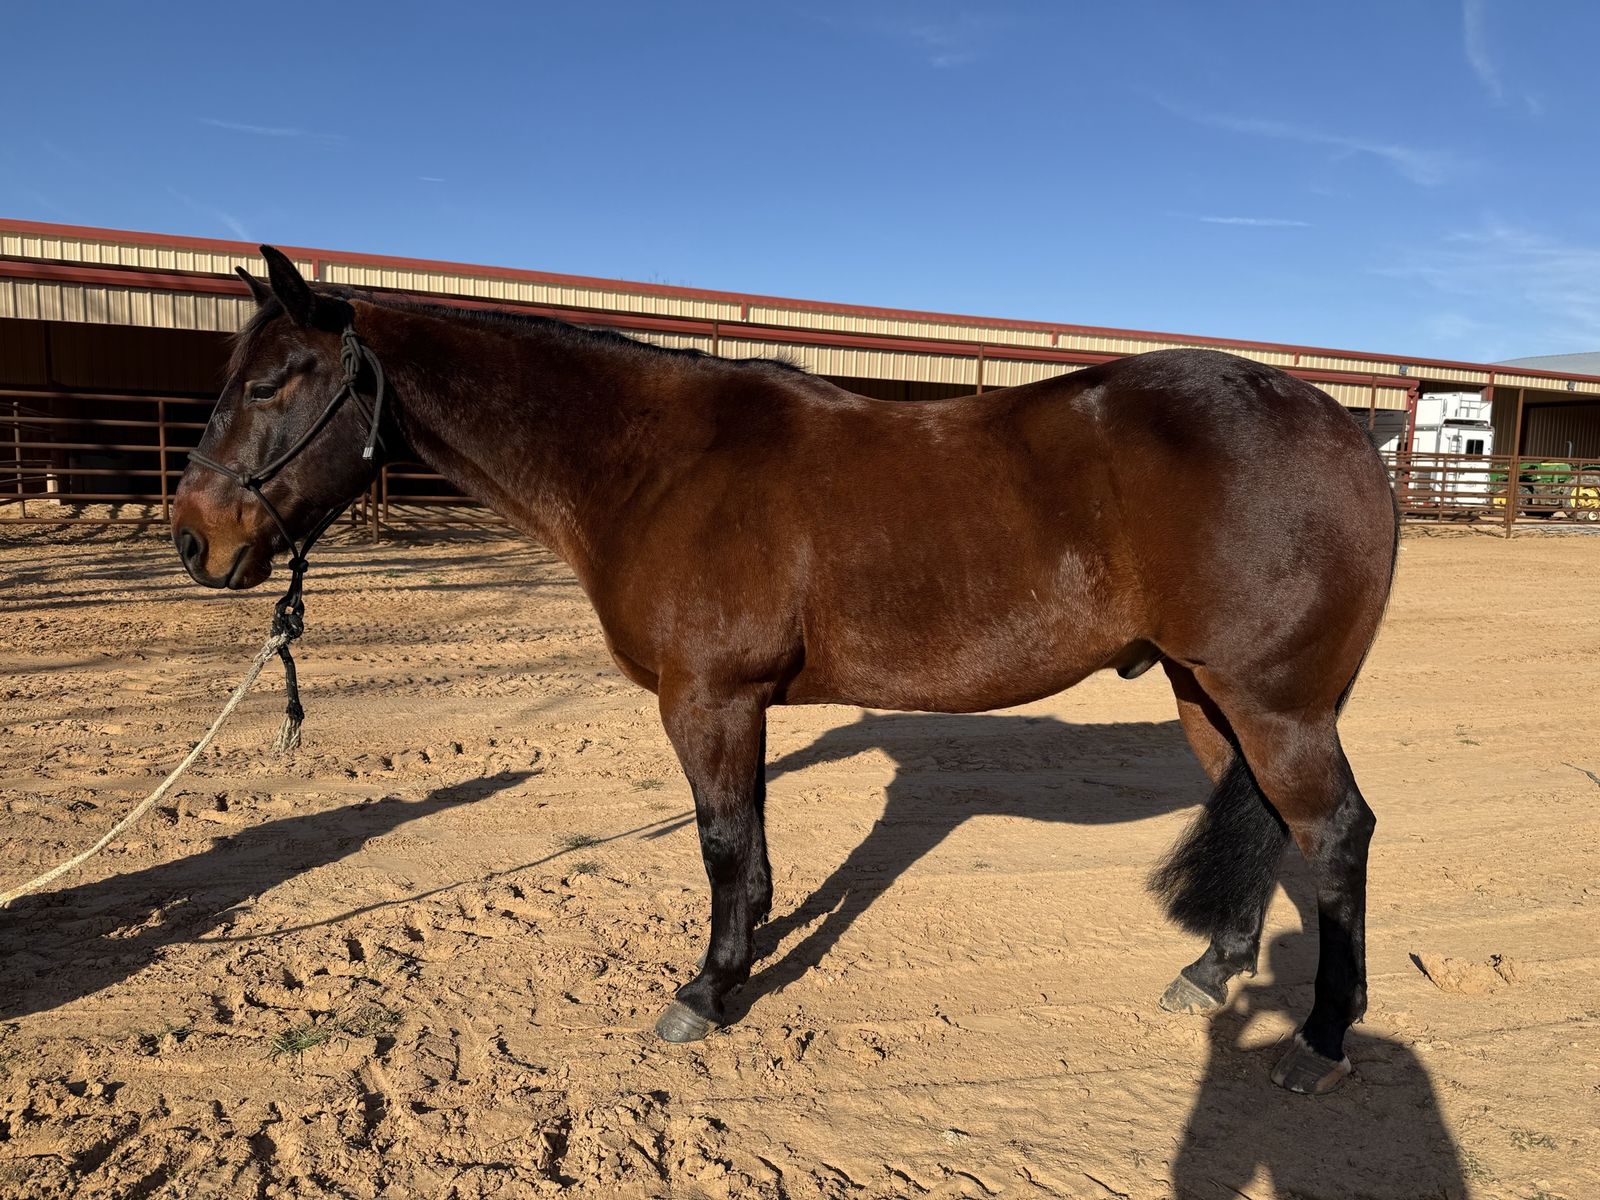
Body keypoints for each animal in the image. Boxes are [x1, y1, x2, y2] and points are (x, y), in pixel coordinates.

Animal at [172, 246, 1398, 1094]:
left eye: (278, 382)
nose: (195, 540)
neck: (654, 464)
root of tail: (1347, 428)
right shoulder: (738, 704)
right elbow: (749, 842)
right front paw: (745, 954)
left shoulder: (707, 699)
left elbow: (720, 844)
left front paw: (707, 990)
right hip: (1209, 693)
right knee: (1258, 817)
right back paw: (1212, 973)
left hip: (1277, 704)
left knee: (1333, 835)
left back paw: (1320, 1037)